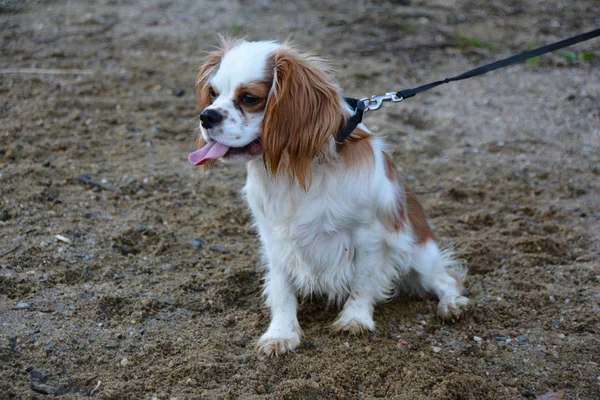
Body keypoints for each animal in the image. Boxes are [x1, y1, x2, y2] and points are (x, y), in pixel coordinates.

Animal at [189, 38, 468, 356]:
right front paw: (281, 333)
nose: (207, 116)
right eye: (213, 94)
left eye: (249, 98)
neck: (293, 170)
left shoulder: (368, 234)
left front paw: (355, 318)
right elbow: (282, 289)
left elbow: (363, 281)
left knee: (447, 279)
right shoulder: (274, 238)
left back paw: (451, 304)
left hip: (418, 251)